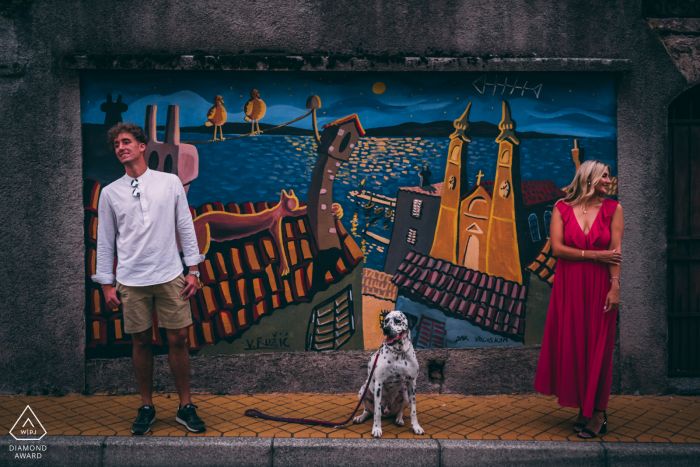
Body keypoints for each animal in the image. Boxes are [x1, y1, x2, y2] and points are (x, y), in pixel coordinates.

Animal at [352, 310, 424, 438]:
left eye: (398, 320)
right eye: (385, 321)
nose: (386, 329)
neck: (399, 353)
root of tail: (387, 411)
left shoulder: (412, 383)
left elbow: (413, 411)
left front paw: (416, 427)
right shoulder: (379, 383)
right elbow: (376, 413)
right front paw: (376, 429)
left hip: (405, 394)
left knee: (400, 411)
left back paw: (399, 419)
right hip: (363, 390)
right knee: (368, 411)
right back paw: (361, 417)